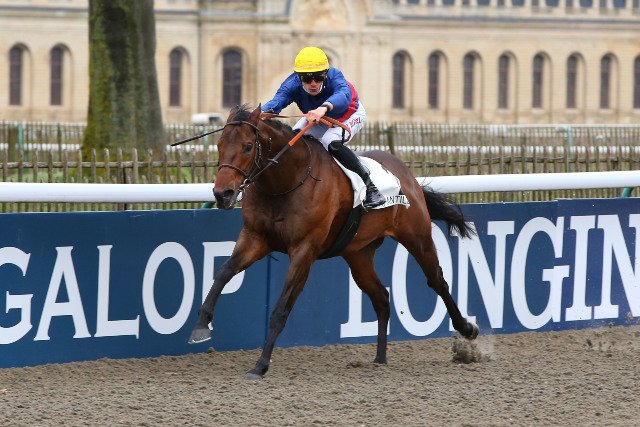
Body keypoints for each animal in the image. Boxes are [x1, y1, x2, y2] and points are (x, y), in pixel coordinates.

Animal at [187, 104, 479, 380]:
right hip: (359, 254)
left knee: (437, 281)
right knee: (381, 297)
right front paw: (201, 325)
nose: (222, 194)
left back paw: (466, 328)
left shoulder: (304, 250)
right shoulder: (255, 238)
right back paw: (380, 357)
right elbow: (223, 273)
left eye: (248, 146)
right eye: (220, 144)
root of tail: (407, 175)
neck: (286, 181)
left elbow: (281, 308)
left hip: (417, 236)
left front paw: (260, 365)